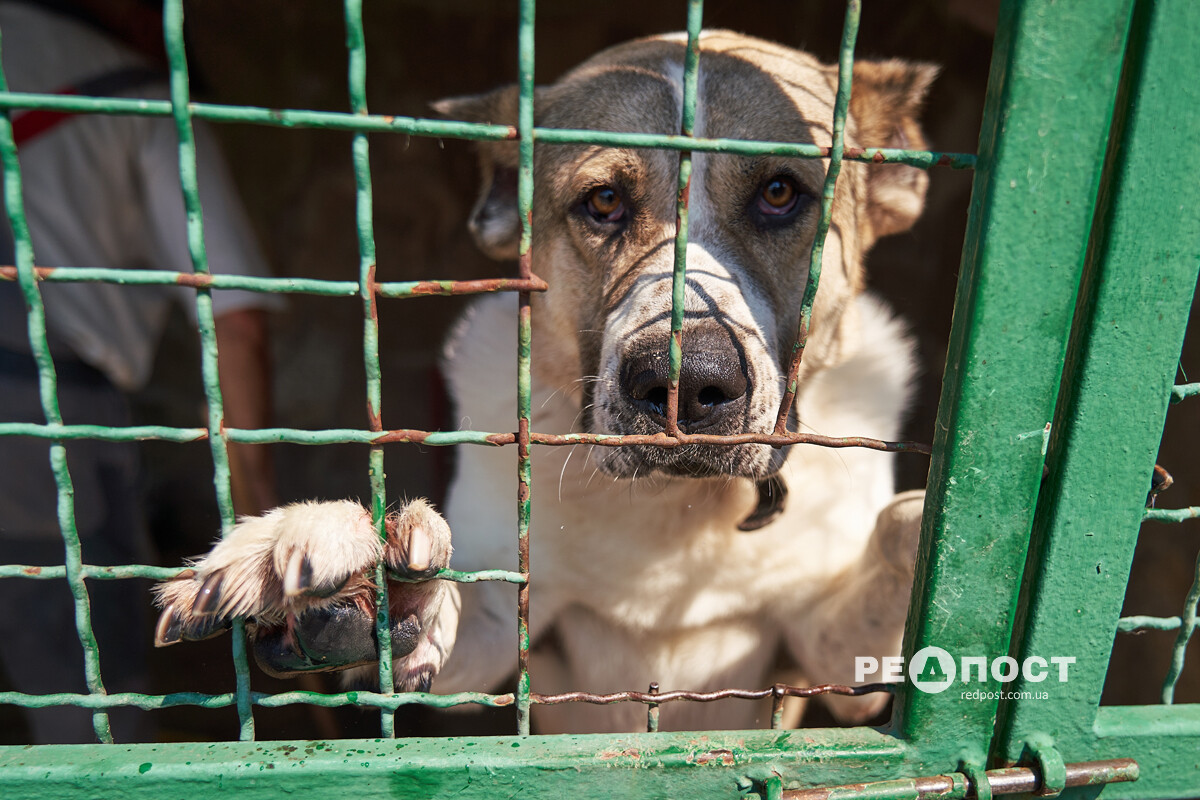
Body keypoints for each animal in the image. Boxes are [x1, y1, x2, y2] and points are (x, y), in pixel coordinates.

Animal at [154, 29, 931, 734]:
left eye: (778, 193)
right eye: (604, 201)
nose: (687, 381)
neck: (672, 510)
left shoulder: (825, 659)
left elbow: (899, 529)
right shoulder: (505, 634)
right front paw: (370, 582)